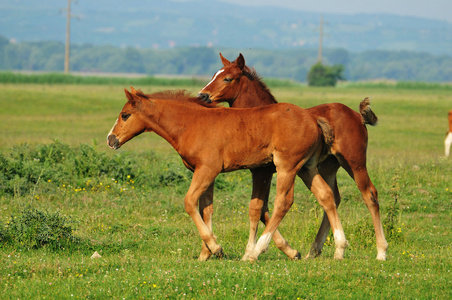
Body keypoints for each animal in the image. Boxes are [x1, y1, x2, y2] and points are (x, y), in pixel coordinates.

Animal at [107, 88, 348, 260]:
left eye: (125, 115)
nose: (111, 139)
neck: (191, 123)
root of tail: (313, 119)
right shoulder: (205, 172)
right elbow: (206, 209)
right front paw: (205, 254)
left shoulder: (207, 169)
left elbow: (189, 202)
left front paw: (216, 247)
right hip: (307, 167)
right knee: (326, 196)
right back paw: (339, 249)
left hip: (287, 167)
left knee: (283, 202)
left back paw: (256, 251)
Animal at [198, 52, 388, 262]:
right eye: (214, 74)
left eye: (227, 78)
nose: (202, 95)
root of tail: (357, 115)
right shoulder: (262, 171)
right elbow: (262, 209)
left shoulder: (263, 171)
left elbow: (259, 209)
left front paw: (253, 251)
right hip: (327, 166)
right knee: (332, 197)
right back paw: (321, 250)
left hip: (354, 162)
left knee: (369, 195)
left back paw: (381, 251)